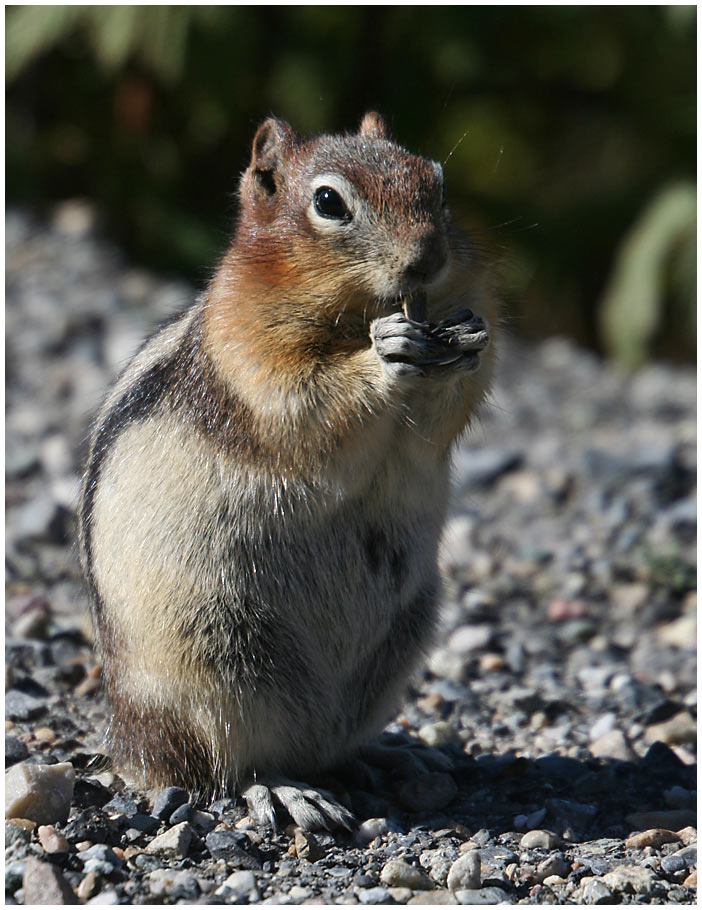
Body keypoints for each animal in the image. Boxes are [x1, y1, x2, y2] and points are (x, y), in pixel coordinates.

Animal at [78, 110, 496, 832]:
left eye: (437, 183)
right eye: (328, 202)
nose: (427, 259)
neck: (355, 311)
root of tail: (128, 743)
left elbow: (440, 421)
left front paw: (465, 338)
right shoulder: (249, 355)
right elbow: (305, 403)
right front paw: (386, 352)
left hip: (401, 636)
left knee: (329, 744)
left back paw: (387, 755)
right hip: (216, 660)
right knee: (227, 766)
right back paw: (283, 790)